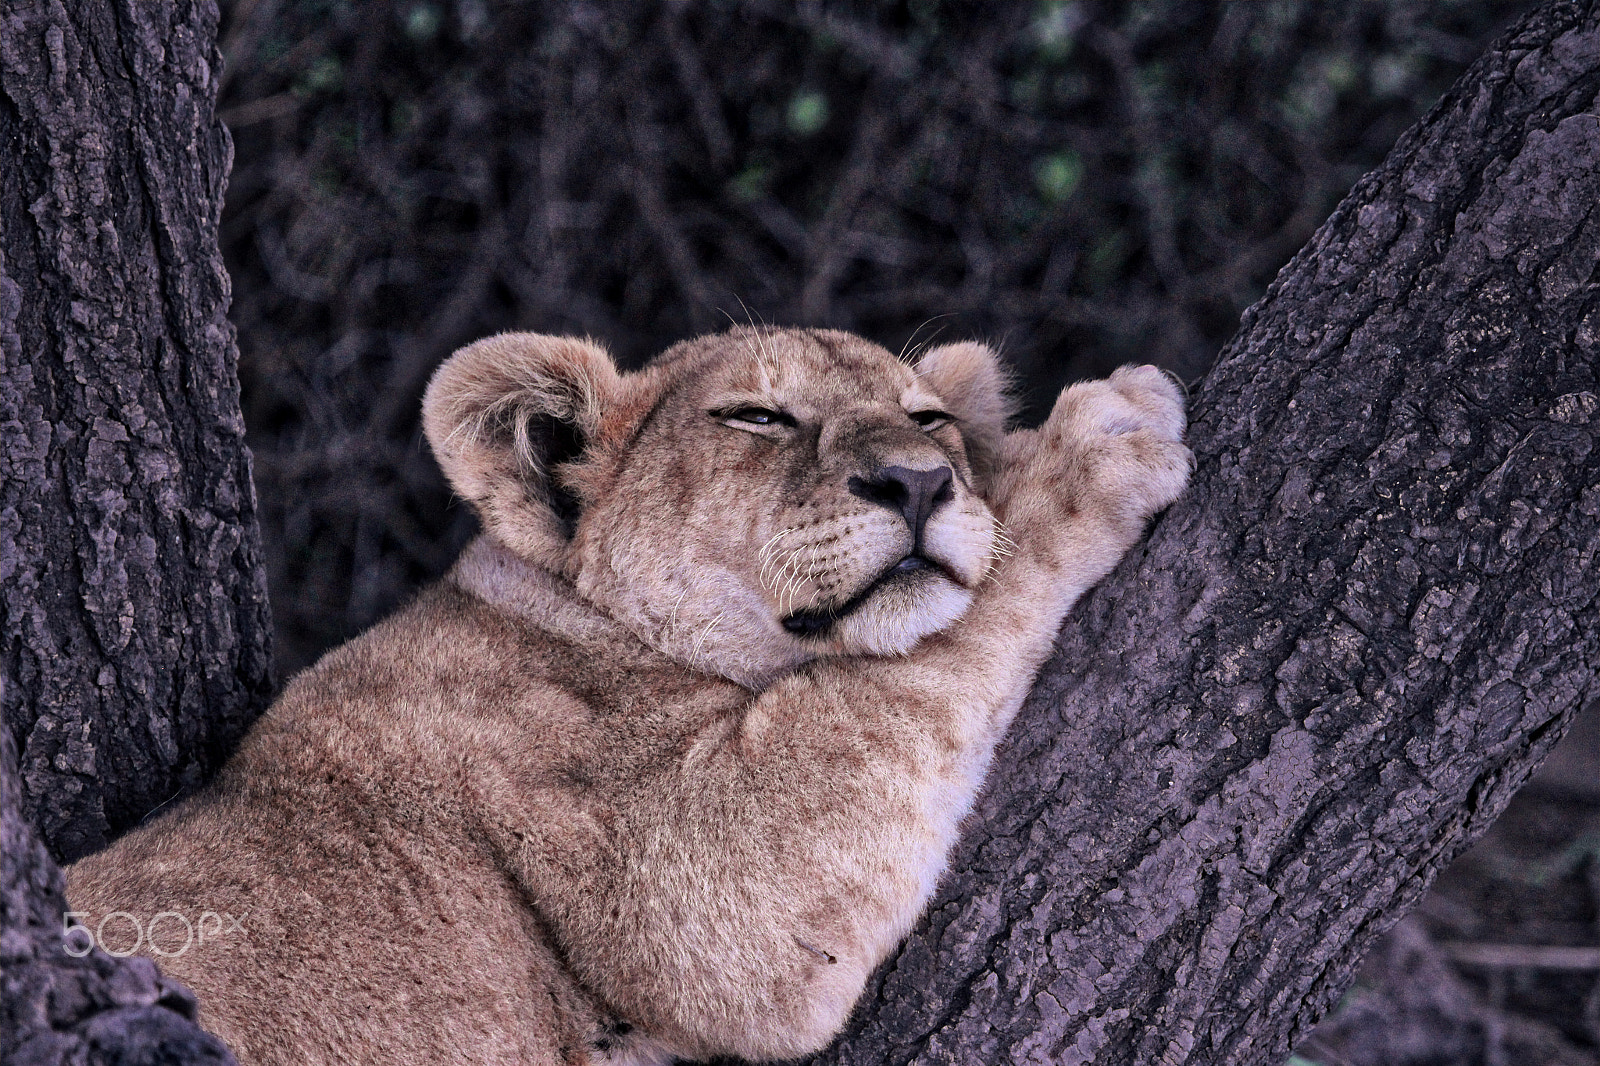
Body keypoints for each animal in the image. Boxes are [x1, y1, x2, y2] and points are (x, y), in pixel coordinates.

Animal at [67, 326, 1189, 1065]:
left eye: (930, 418)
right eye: (758, 416)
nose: (919, 480)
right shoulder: (686, 871)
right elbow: (931, 648)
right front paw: (1100, 438)